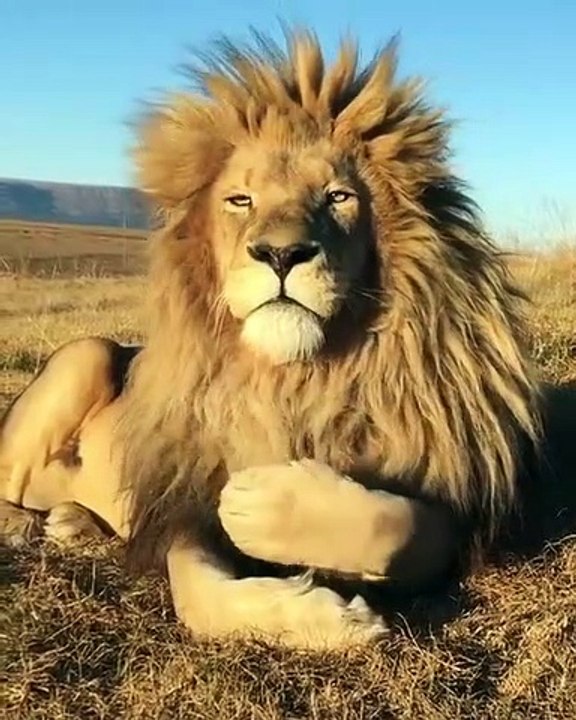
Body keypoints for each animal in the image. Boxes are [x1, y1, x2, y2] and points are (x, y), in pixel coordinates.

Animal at [1, 29, 575, 650]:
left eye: (338, 197)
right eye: (241, 201)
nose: (281, 253)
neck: (296, 377)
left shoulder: (453, 513)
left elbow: (395, 526)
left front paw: (262, 504)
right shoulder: (182, 498)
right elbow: (199, 597)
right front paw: (318, 611)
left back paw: (73, 520)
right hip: (87, 354)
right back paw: (28, 522)